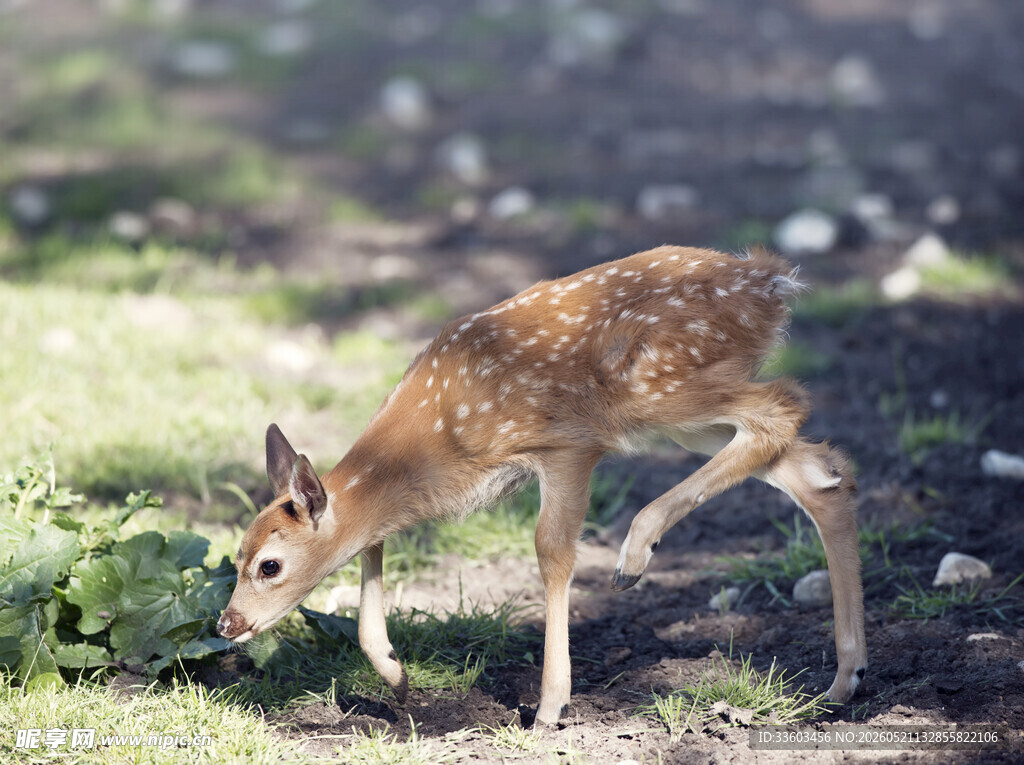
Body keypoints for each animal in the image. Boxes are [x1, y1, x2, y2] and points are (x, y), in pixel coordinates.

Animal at [216, 245, 867, 725]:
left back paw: (635, 556)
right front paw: (396, 677)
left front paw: (552, 706)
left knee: (783, 408)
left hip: (657, 386)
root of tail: (772, 280)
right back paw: (844, 679)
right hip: (686, 418)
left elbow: (552, 551)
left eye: (270, 565)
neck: (433, 444)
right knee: (818, 472)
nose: (227, 625)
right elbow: (369, 547)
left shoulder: (566, 445)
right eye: (237, 556)